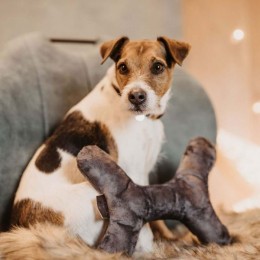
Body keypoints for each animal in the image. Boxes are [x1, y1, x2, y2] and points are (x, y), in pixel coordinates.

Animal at [4, 35, 191, 255]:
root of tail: (31, 231)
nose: (136, 96)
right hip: (95, 193)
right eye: (123, 67)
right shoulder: (134, 173)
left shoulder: (144, 171)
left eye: (158, 67)